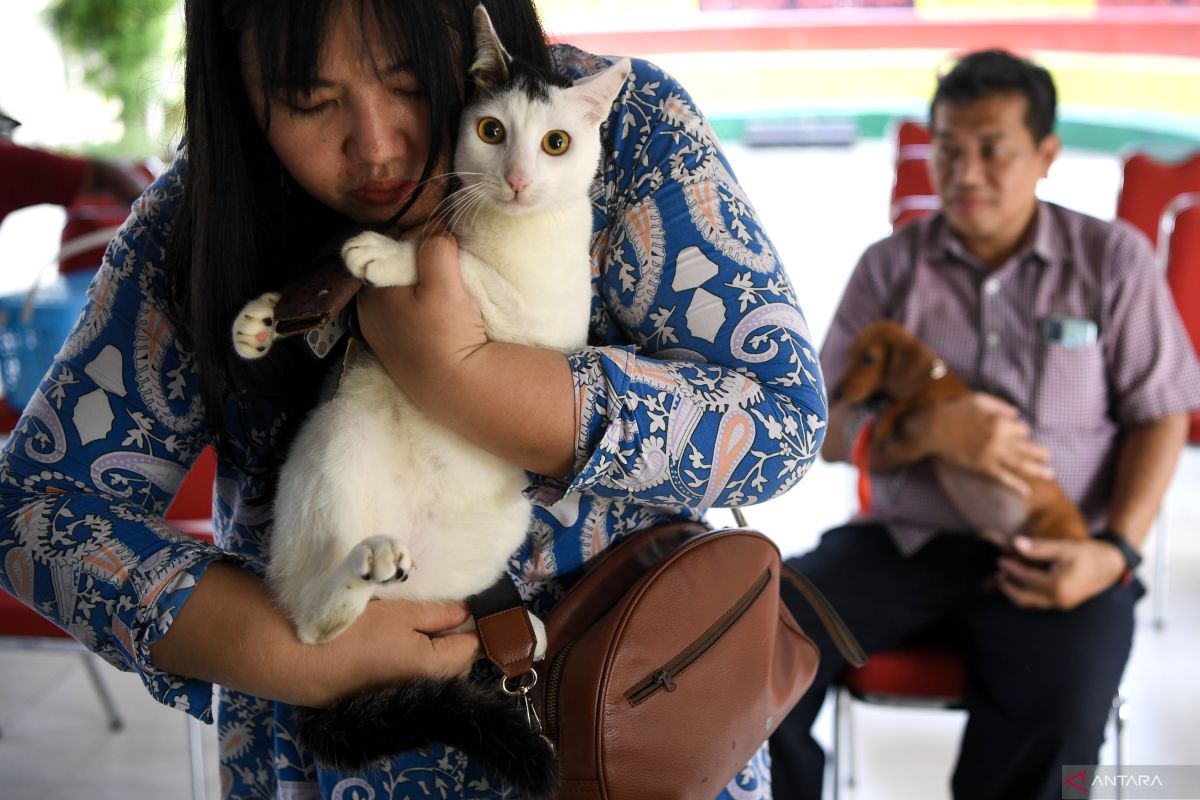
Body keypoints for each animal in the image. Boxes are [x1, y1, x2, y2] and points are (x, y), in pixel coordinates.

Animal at [230, 6, 633, 796]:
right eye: (492, 131)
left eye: (557, 143)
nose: (517, 180)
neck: (494, 226)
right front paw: (264, 319)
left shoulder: (543, 329)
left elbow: (467, 275)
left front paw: (391, 257)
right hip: (338, 438)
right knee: (308, 624)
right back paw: (357, 575)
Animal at [835, 321, 1089, 542]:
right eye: (850, 354)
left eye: (868, 358)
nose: (836, 393)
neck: (932, 378)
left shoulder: (936, 399)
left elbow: (904, 404)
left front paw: (885, 421)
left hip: (1050, 526)